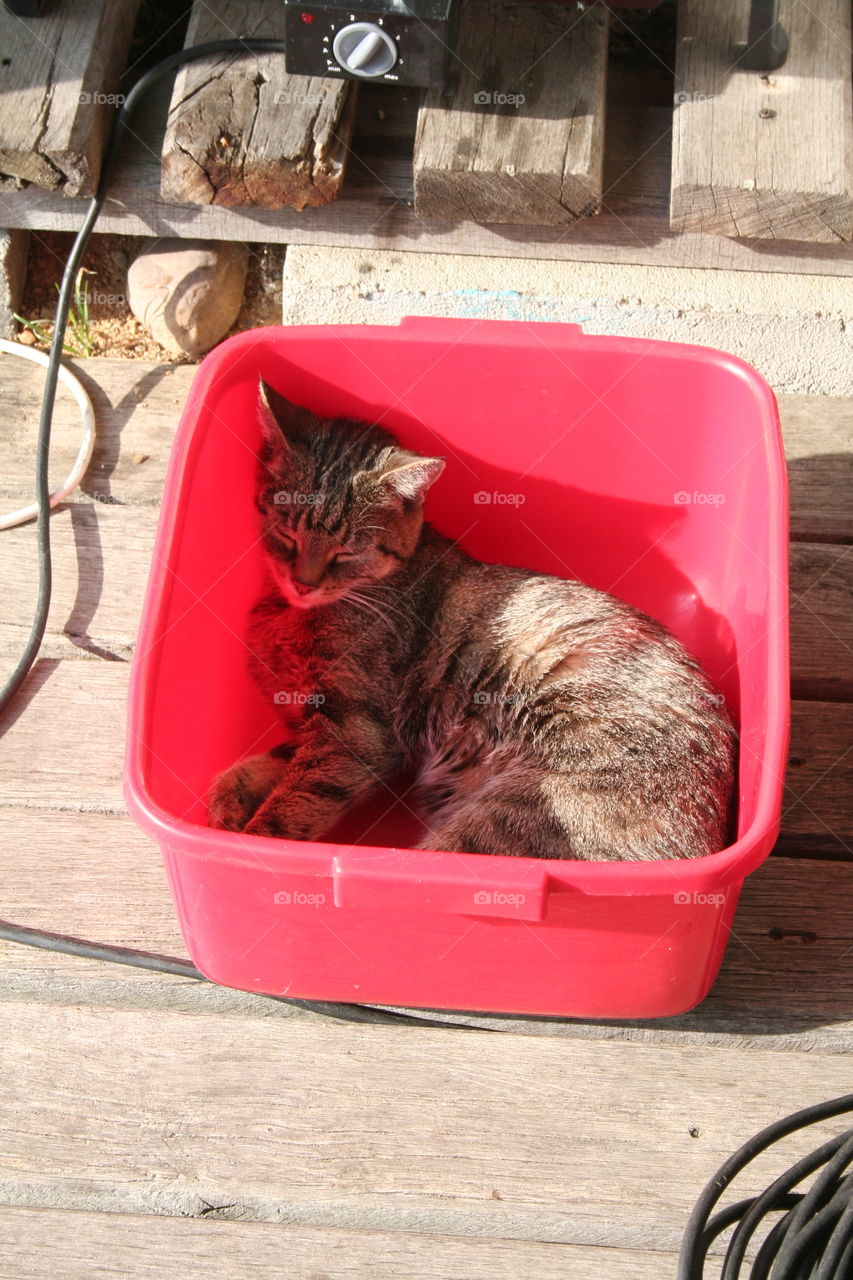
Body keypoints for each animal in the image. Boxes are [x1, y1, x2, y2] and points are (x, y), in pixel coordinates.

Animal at [204, 378, 732, 860]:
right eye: (285, 534)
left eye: (346, 552)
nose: (303, 583)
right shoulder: (316, 725)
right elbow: (263, 764)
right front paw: (228, 798)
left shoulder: (358, 733)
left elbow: (293, 803)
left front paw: (253, 840)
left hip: (509, 818)